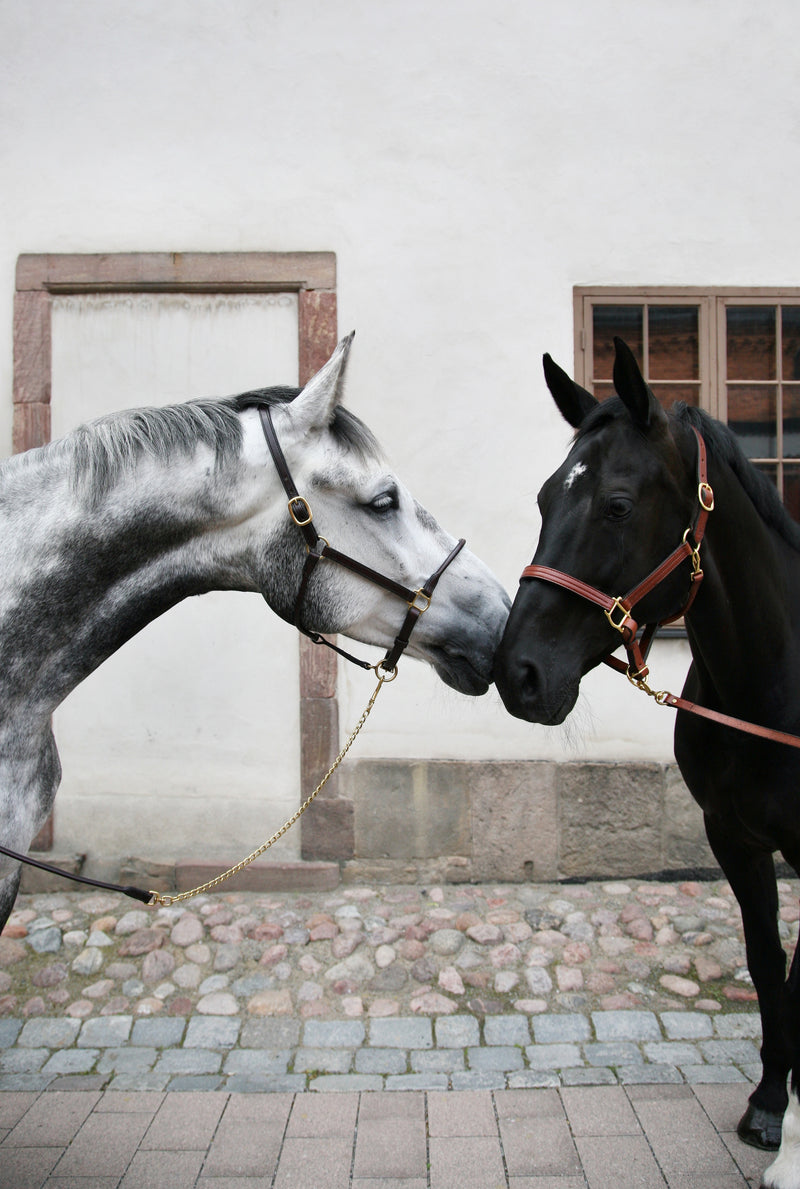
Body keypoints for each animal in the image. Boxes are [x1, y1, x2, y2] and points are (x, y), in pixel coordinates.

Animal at [496, 337, 798, 1189]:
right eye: (541, 500)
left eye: (618, 505)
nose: (517, 672)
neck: (770, 685)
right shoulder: (735, 839)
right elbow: (767, 961)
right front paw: (771, 1101)